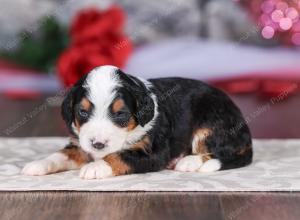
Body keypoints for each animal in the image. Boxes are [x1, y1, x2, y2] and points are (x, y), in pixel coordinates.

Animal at [22, 65, 252, 179]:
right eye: (82, 112)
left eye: (121, 114)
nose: (98, 144)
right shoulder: (80, 144)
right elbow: (60, 155)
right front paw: (37, 164)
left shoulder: (153, 152)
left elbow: (119, 156)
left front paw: (96, 167)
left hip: (210, 125)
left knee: (223, 152)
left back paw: (188, 162)